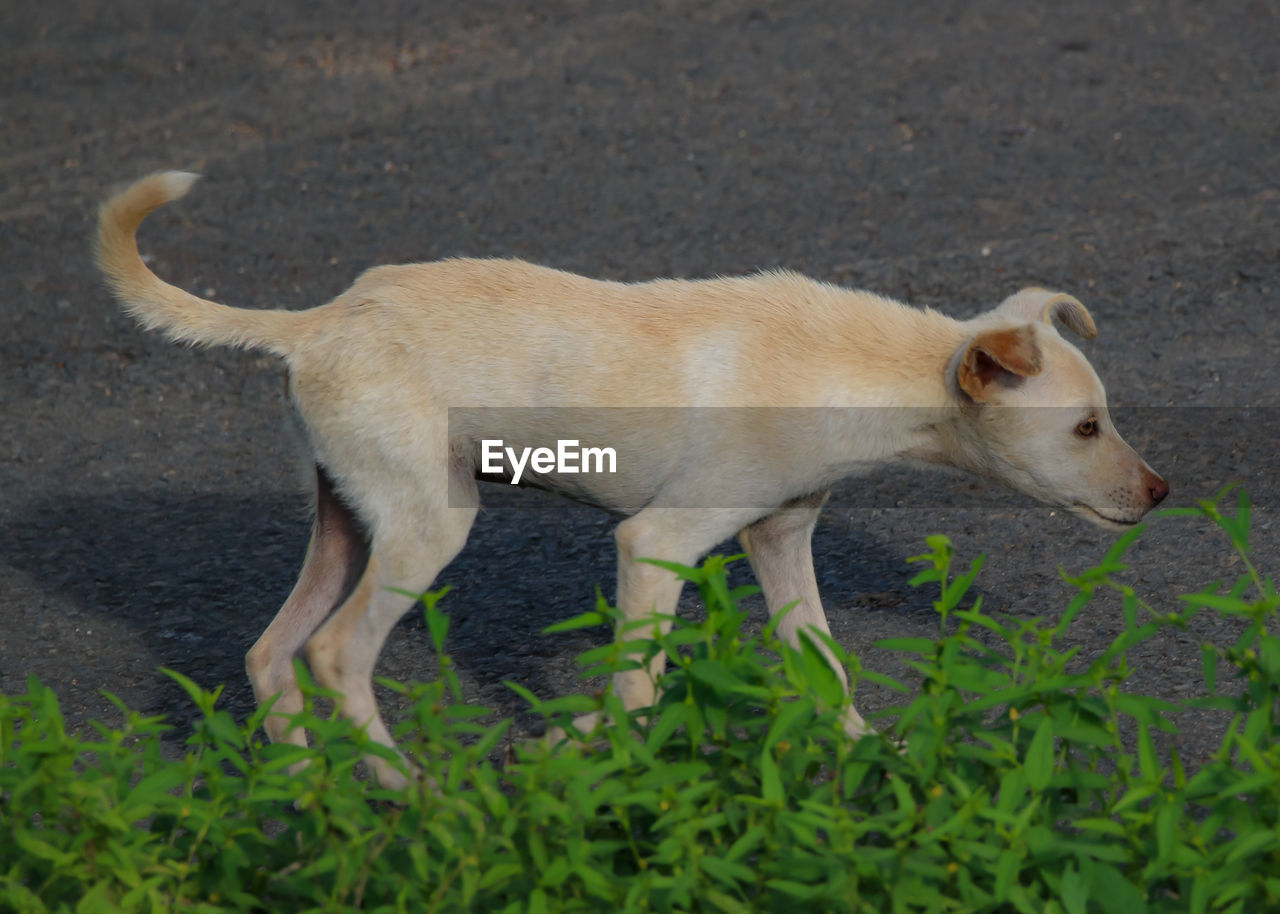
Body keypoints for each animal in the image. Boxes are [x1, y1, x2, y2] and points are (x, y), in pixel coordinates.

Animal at [94, 174, 1167, 788]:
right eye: (1086, 427)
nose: (1159, 494)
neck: (859, 366)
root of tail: (315, 320)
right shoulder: (655, 545)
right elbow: (638, 692)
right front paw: (571, 757)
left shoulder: (780, 540)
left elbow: (824, 672)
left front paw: (885, 765)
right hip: (428, 528)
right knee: (334, 654)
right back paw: (413, 796)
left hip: (348, 522)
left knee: (271, 654)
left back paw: (322, 805)